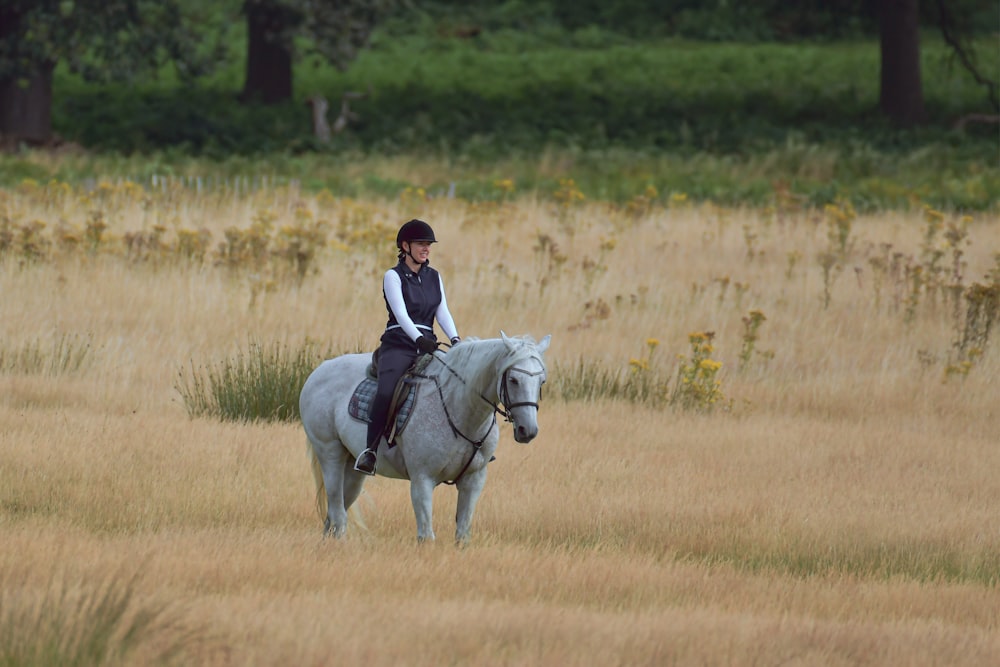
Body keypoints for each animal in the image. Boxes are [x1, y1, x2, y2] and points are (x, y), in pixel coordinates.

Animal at [300, 332, 552, 544]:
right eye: (513, 380)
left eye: (541, 381)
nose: (528, 430)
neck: (459, 408)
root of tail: (318, 371)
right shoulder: (422, 480)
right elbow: (426, 536)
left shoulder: (473, 480)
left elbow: (462, 534)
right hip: (330, 454)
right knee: (337, 511)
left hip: (353, 467)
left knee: (336, 513)